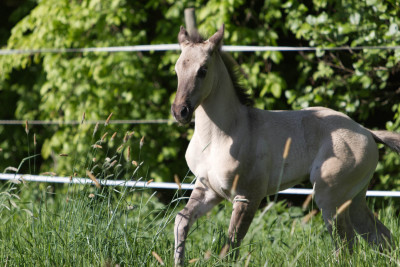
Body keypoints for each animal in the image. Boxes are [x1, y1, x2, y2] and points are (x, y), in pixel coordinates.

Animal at [170, 24, 398, 266]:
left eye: (203, 70)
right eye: (176, 70)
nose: (180, 111)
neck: (220, 137)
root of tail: (366, 132)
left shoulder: (247, 197)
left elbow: (232, 244)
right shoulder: (208, 190)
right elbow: (181, 220)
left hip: (330, 198)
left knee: (346, 245)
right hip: (354, 198)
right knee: (380, 236)